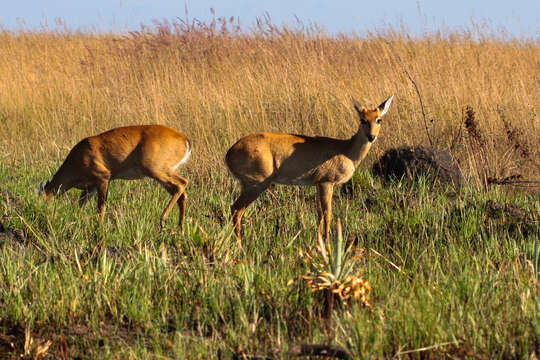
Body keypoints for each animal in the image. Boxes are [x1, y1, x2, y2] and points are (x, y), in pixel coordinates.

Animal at [38, 125, 190, 229]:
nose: (41, 214)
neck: (77, 159)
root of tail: (185, 139)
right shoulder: (90, 187)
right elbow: (79, 206)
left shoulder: (103, 177)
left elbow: (101, 206)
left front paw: (99, 227)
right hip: (162, 173)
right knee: (182, 194)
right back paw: (180, 228)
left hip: (155, 170)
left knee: (182, 183)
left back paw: (163, 220)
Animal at [224, 95, 392, 245]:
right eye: (363, 119)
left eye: (378, 119)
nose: (371, 136)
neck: (346, 150)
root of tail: (229, 153)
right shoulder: (326, 182)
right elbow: (327, 214)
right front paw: (327, 244)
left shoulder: (318, 184)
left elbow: (319, 214)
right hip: (256, 185)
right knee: (236, 210)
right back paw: (241, 246)